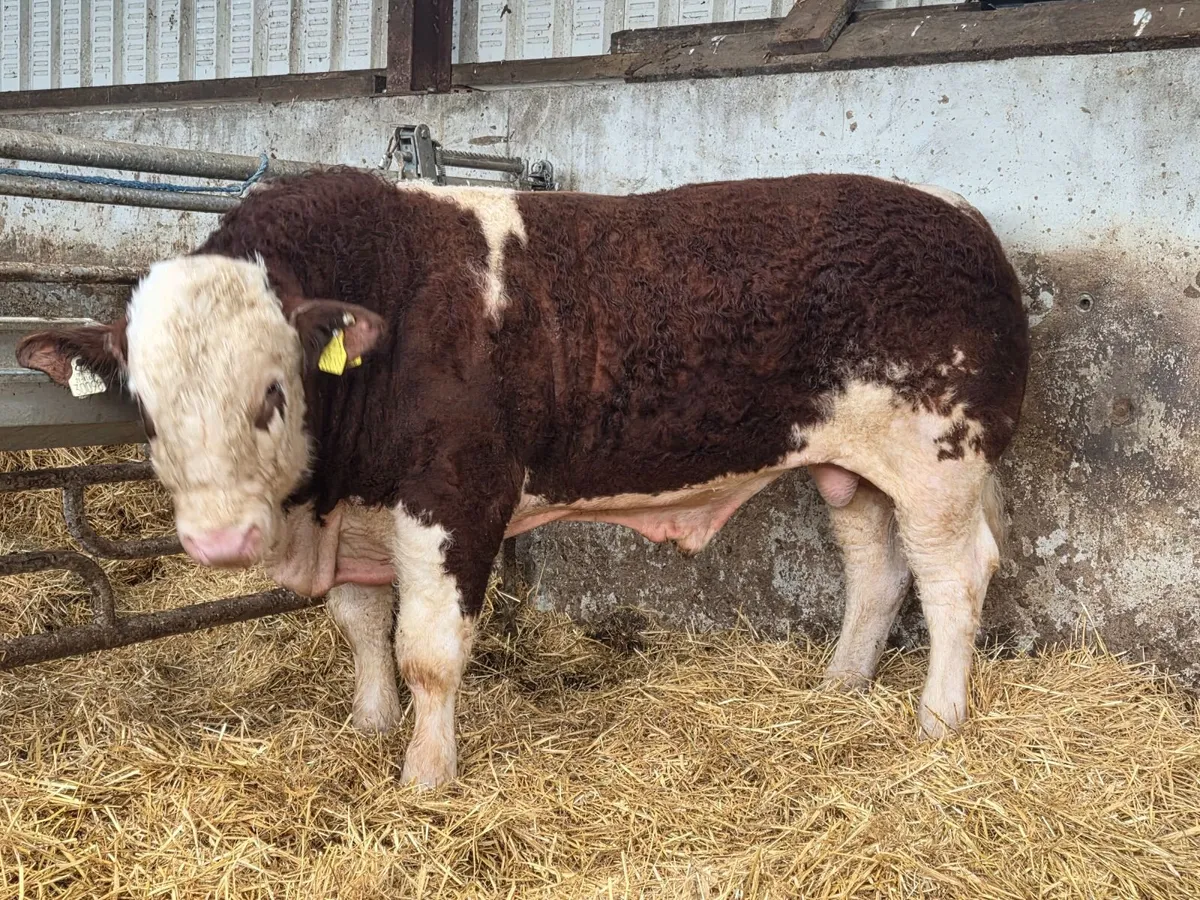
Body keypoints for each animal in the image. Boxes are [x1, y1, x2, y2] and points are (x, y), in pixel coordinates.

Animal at [17, 168, 1030, 788]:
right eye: (144, 405)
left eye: (273, 391)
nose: (219, 540)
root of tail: (961, 213)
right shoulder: (360, 516)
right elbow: (361, 627)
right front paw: (369, 726)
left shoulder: (457, 498)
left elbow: (428, 651)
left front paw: (425, 777)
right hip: (847, 467)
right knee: (877, 570)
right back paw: (840, 687)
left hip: (942, 459)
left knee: (952, 579)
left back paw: (938, 720)